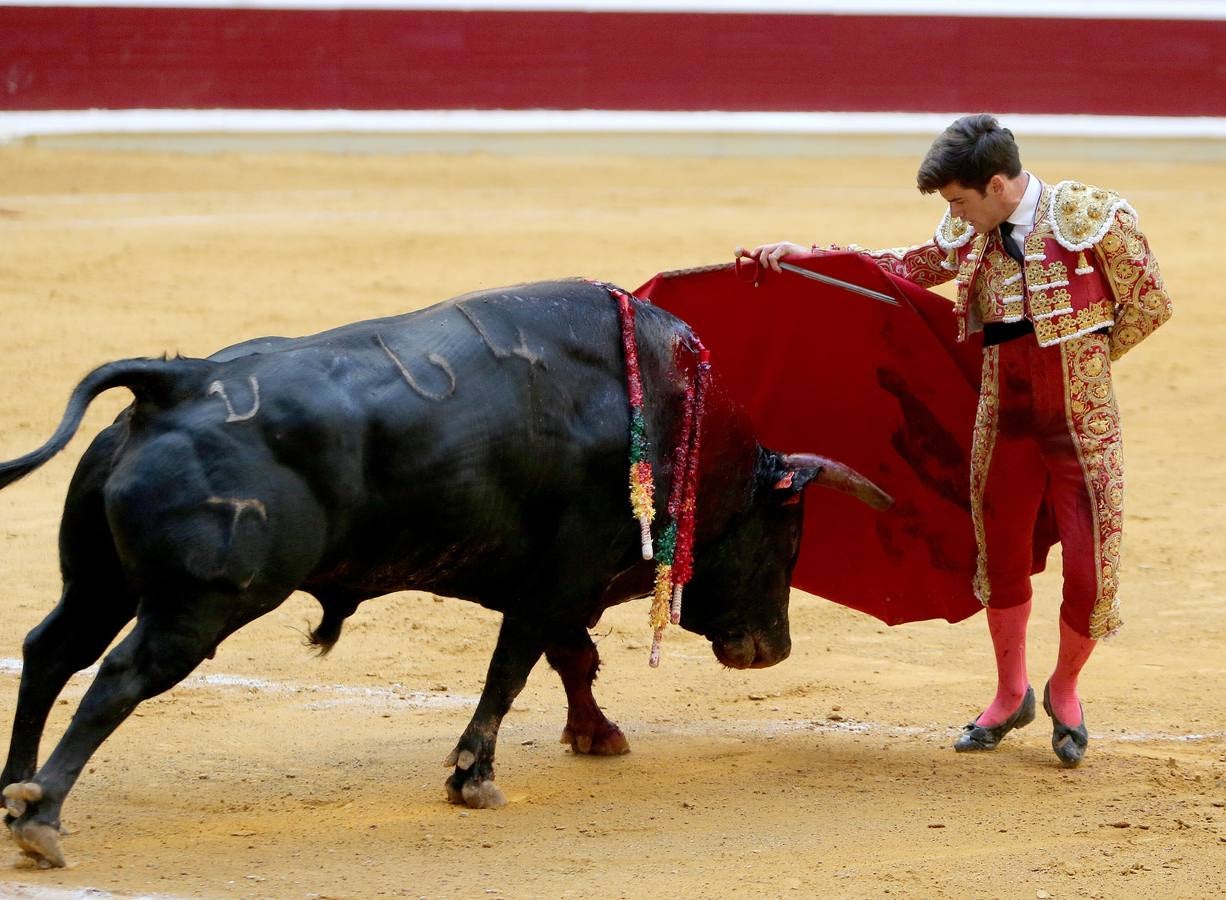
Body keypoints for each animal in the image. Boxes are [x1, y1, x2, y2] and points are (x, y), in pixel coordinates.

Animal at [0, 280, 887, 868]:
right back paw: (45, 821)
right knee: (118, 676)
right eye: (788, 533)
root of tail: (176, 381)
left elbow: (567, 660)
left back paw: (15, 797)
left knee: (50, 651)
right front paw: (475, 777)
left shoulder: (556, 584)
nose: (773, 648)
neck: (676, 419)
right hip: (200, 605)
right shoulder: (560, 576)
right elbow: (516, 668)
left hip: (100, 583)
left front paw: (595, 735)